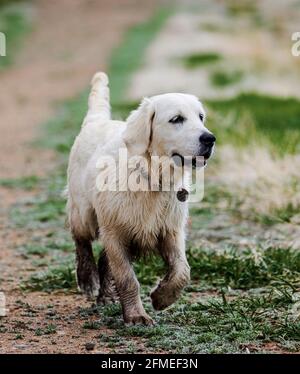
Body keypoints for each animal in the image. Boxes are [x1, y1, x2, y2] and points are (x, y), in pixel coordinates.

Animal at [66, 72, 216, 324]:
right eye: (176, 119)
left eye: (201, 117)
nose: (210, 139)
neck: (152, 178)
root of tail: (96, 121)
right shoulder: (115, 232)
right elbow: (127, 278)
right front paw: (136, 315)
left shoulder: (170, 231)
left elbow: (182, 271)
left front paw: (162, 297)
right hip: (85, 212)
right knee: (81, 239)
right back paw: (87, 279)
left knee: (105, 259)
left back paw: (106, 296)